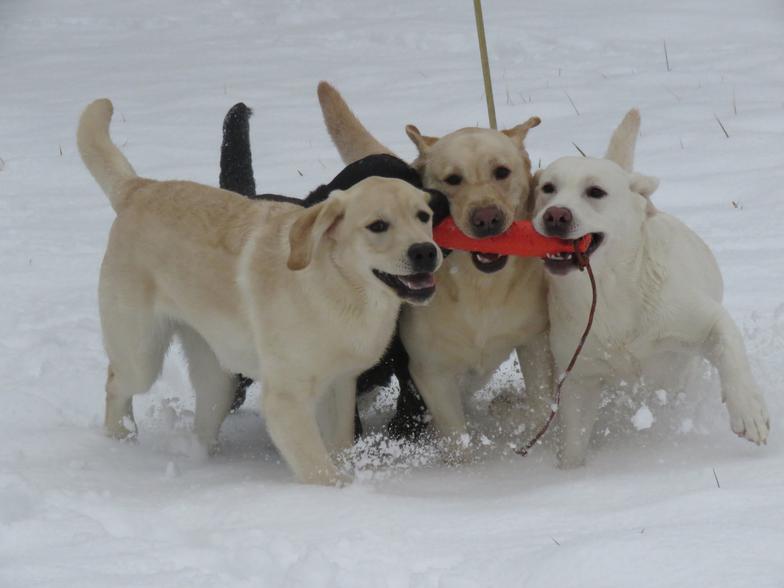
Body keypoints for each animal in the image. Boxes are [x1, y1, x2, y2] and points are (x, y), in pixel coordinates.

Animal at [316, 81, 552, 454]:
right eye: (453, 179)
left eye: (501, 172)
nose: (487, 218)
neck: (479, 289)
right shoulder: (429, 371)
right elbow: (456, 435)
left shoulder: (534, 343)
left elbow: (541, 405)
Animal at [528, 109, 768, 468]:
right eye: (548, 188)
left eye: (595, 192)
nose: (555, 215)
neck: (610, 290)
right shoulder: (579, 377)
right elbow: (574, 436)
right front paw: (569, 473)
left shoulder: (704, 319)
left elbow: (730, 350)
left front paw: (748, 410)